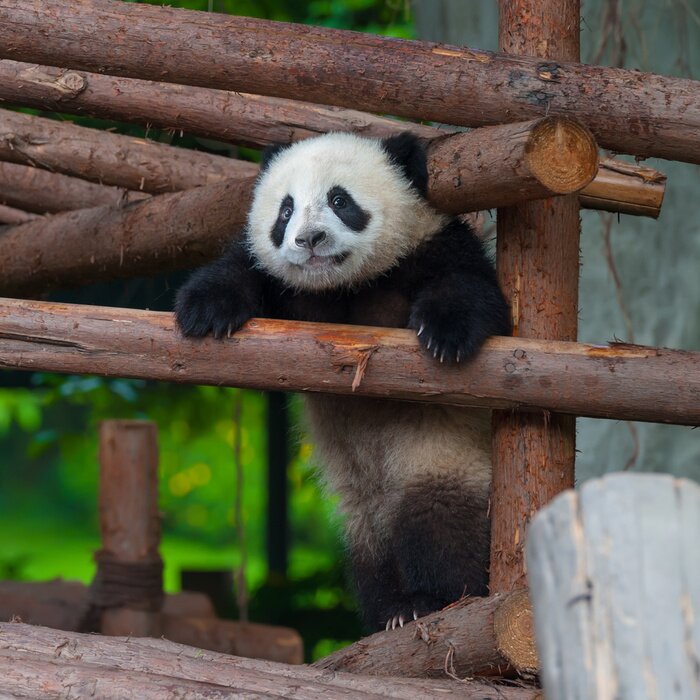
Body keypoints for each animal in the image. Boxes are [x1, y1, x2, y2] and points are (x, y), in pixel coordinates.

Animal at [175, 131, 510, 631]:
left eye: (339, 200)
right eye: (286, 210)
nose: (309, 239)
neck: (342, 287)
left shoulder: (431, 246)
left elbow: (471, 290)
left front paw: (446, 333)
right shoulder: (289, 292)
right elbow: (241, 269)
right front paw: (204, 310)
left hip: (443, 457)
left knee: (441, 522)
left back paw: (431, 599)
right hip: (360, 505)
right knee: (369, 547)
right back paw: (389, 607)